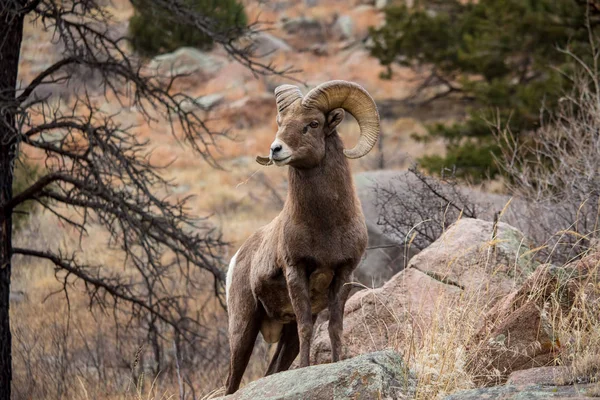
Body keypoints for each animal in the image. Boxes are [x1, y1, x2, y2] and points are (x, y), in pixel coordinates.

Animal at [225, 79, 380, 392]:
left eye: (313, 123)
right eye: (280, 122)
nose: (276, 149)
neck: (326, 226)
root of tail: (237, 258)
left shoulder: (343, 274)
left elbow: (335, 327)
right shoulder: (296, 271)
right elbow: (307, 326)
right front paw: (307, 370)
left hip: (282, 336)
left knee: (272, 371)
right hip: (242, 329)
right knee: (231, 383)